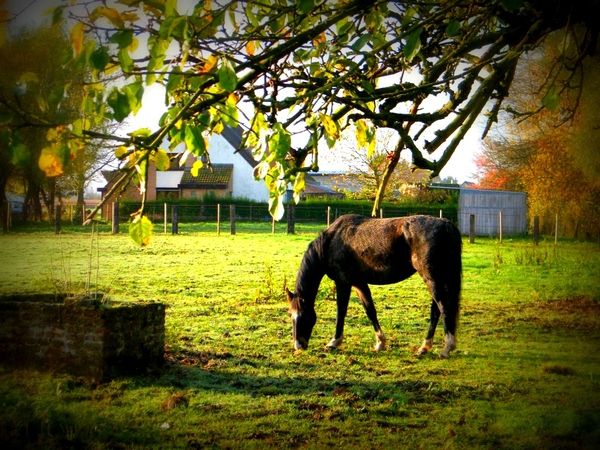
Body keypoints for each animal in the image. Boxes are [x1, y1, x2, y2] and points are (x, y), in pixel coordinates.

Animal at [286, 214, 464, 358]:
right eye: (291, 316)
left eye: (304, 315)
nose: (298, 346)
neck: (331, 241)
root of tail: (446, 225)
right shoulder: (359, 283)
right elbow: (370, 311)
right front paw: (380, 343)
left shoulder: (343, 282)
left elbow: (341, 312)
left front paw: (334, 342)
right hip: (439, 279)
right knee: (436, 311)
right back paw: (424, 347)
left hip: (432, 278)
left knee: (443, 307)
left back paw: (446, 349)